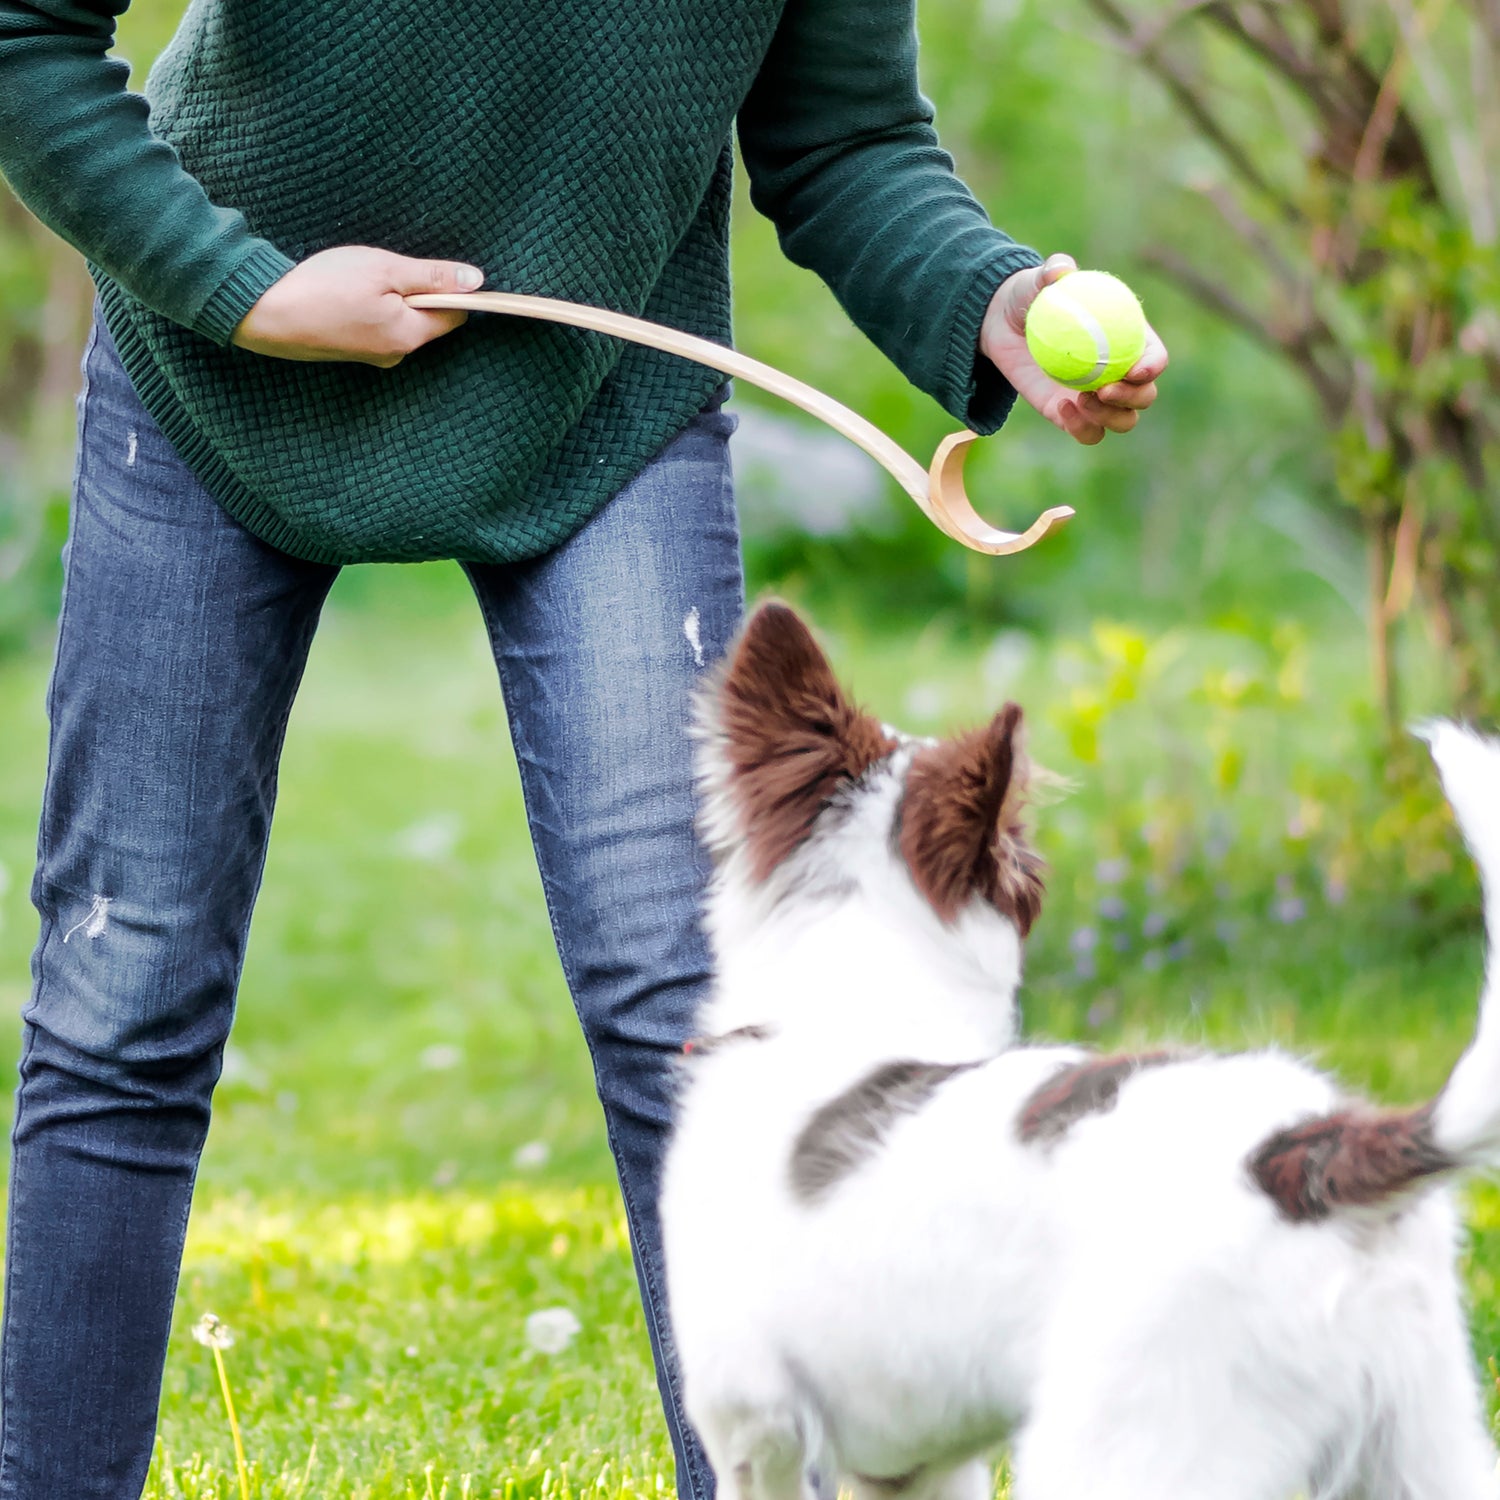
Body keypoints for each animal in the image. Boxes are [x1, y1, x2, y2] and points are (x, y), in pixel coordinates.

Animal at [663, 600, 1500, 1500]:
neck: (854, 1011)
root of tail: (1308, 1160)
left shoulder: (757, 1425)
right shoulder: (922, 1464)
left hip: (1136, 1435)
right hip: (1422, 1444)